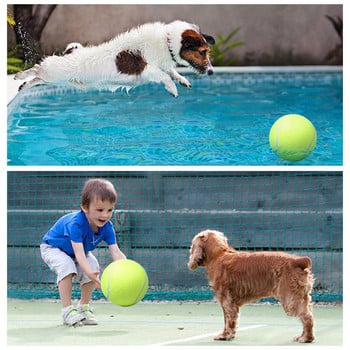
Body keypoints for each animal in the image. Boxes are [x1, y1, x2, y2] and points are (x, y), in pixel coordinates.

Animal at [13, 20, 215, 97]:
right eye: (202, 52)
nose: (212, 72)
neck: (167, 42)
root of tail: (71, 53)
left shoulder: (164, 65)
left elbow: (172, 71)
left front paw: (182, 80)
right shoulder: (147, 69)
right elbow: (164, 75)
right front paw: (173, 88)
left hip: (60, 79)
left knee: (38, 79)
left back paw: (23, 85)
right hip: (53, 72)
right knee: (37, 69)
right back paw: (20, 76)